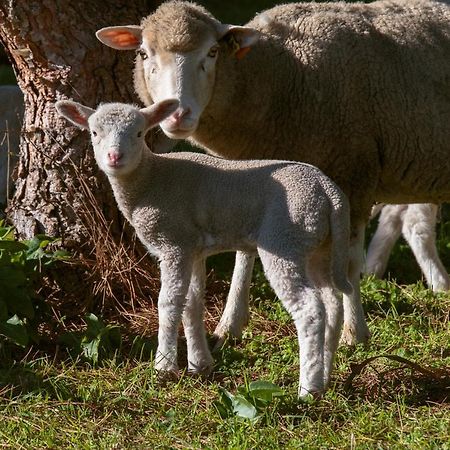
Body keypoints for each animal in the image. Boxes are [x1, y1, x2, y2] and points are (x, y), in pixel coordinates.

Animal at [55, 99, 352, 398]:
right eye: (94, 133)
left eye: (139, 133)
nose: (115, 157)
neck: (151, 179)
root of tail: (330, 192)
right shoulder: (192, 248)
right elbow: (192, 303)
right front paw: (199, 365)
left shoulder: (173, 242)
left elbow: (169, 302)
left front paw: (164, 367)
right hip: (318, 244)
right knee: (332, 302)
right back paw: (325, 376)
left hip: (284, 238)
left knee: (310, 308)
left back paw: (308, 388)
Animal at [97, 0, 450, 344]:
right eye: (144, 54)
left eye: (212, 52)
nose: (178, 114)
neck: (282, 73)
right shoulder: (259, 182)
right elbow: (245, 253)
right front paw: (229, 325)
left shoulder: (356, 172)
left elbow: (347, 263)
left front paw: (355, 332)